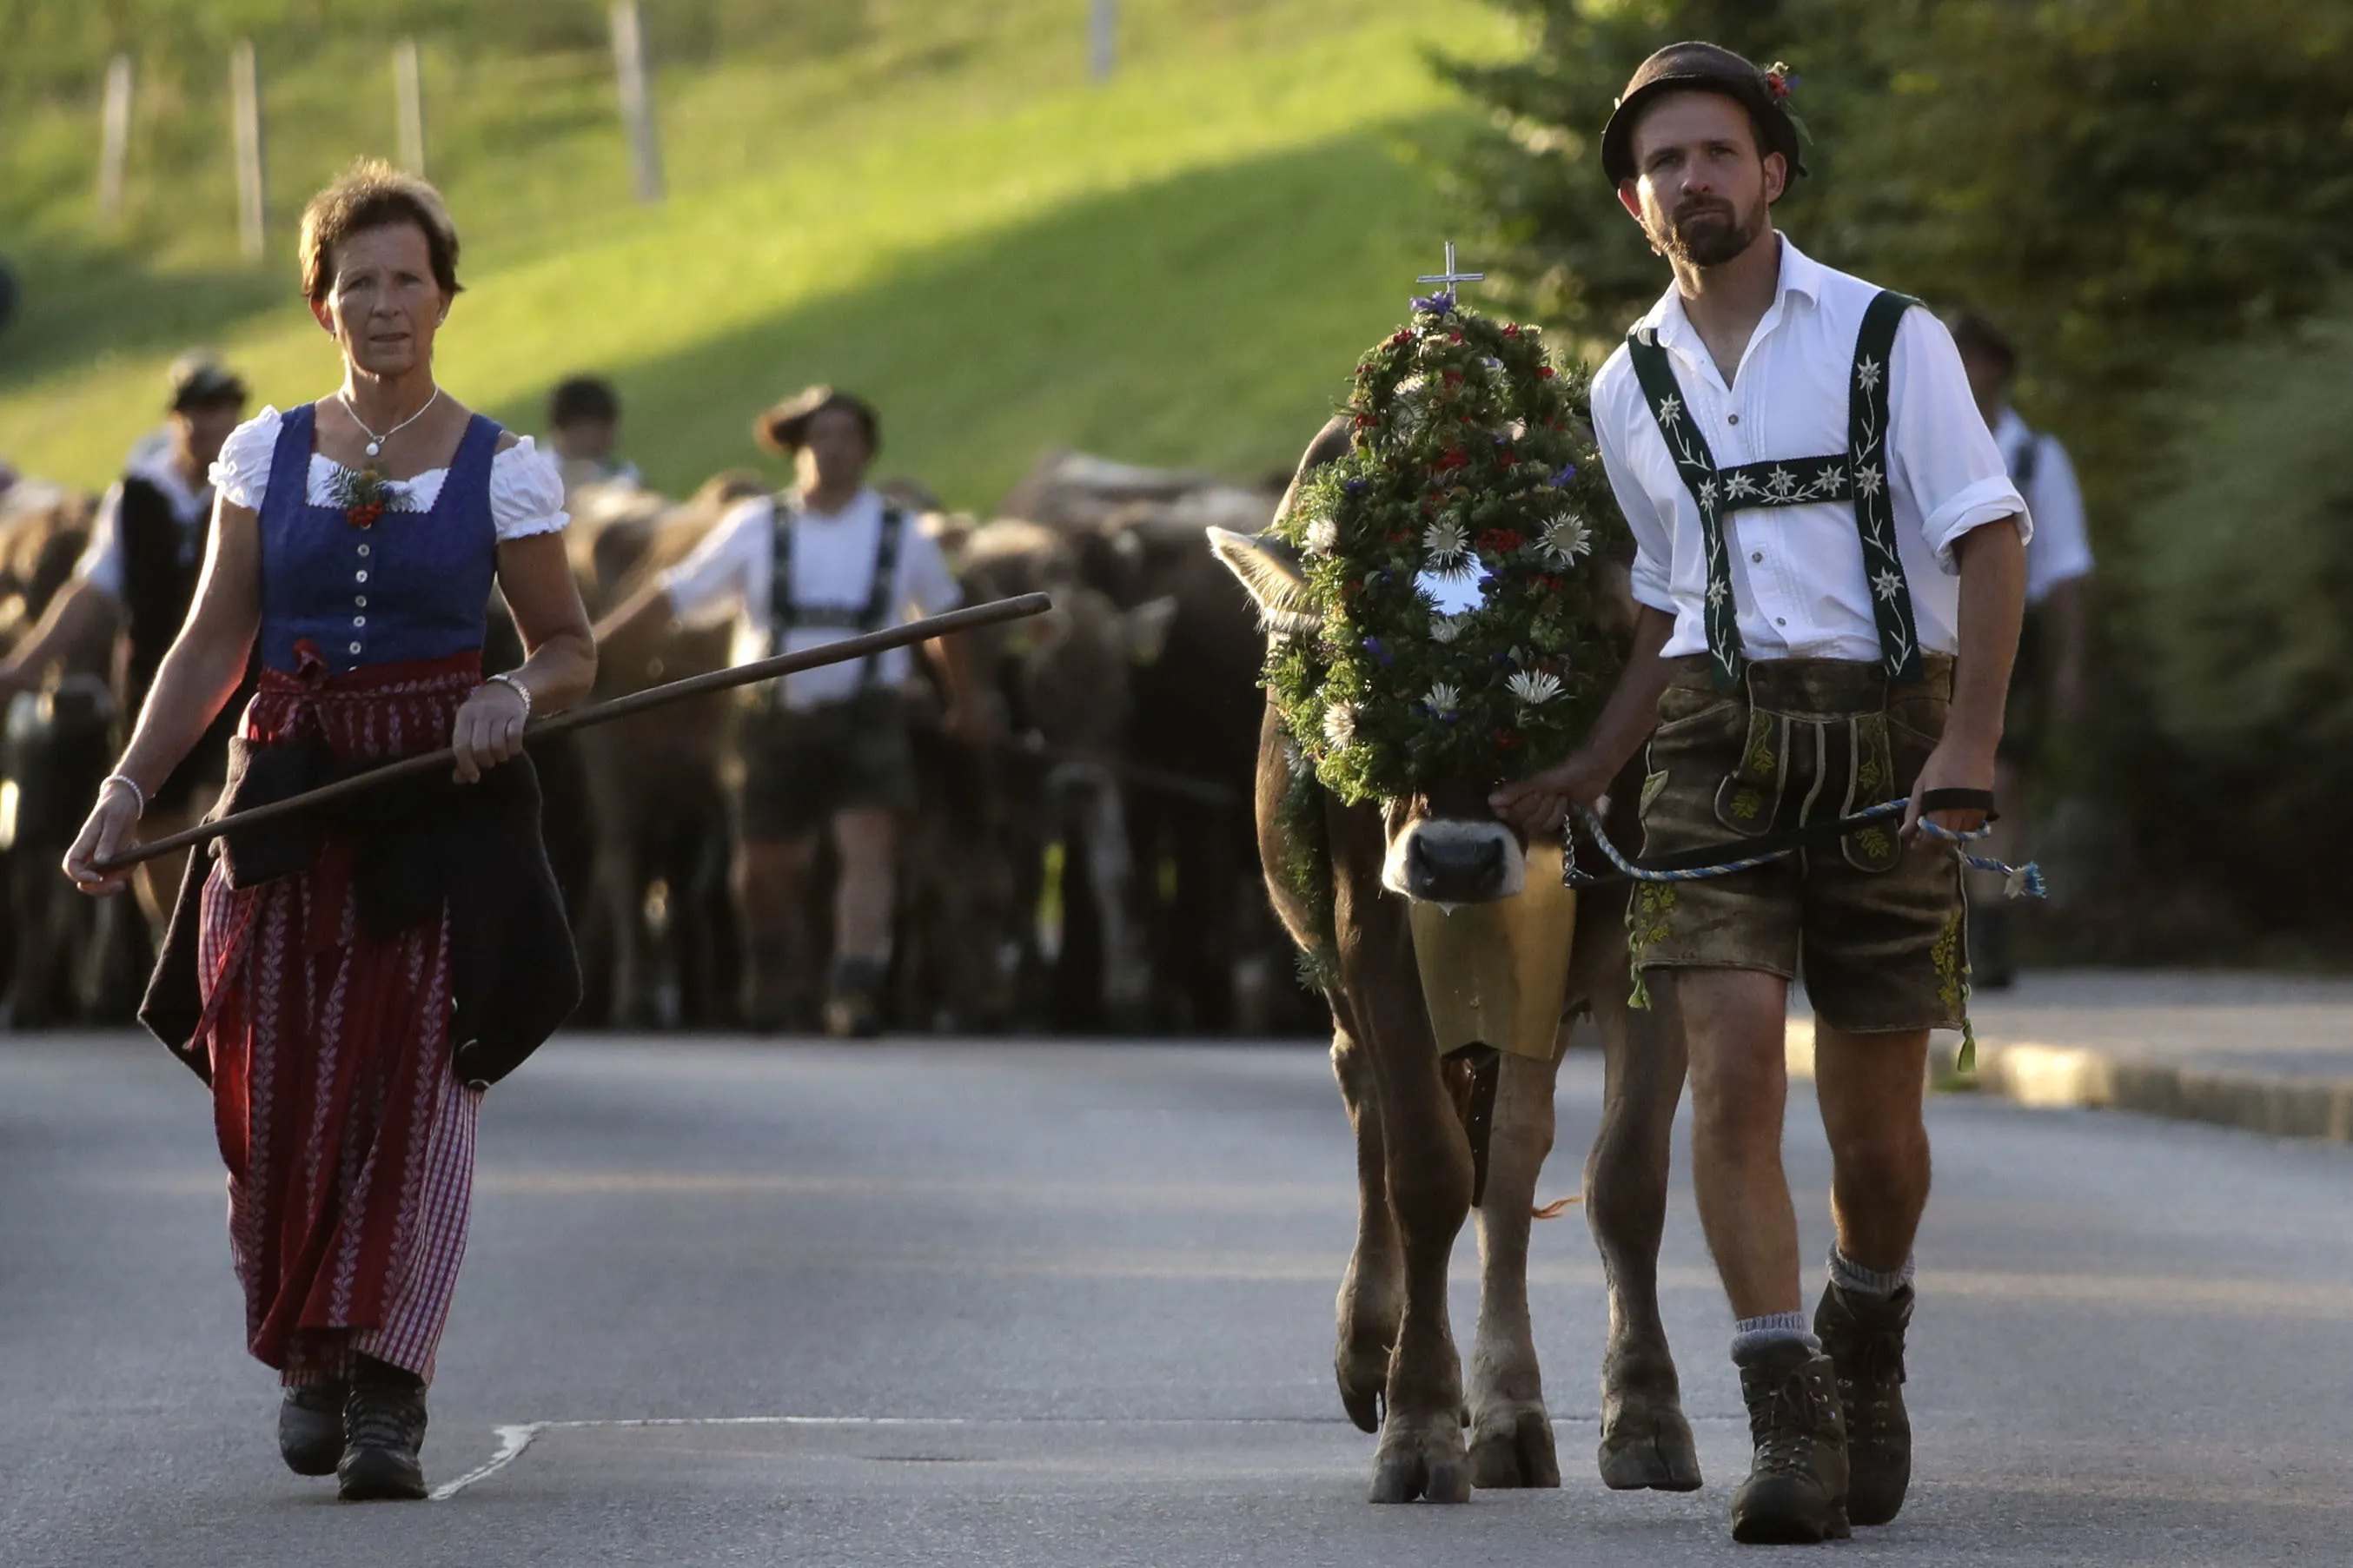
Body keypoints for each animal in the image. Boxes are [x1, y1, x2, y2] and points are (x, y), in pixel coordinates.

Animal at [1214, 288, 1693, 1504]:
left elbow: (1621, 1177)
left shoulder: (1641, 942)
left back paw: (1513, 1411)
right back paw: (1369, 1349)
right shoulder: (1376, 932)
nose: (1458, 860)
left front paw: (1643, 1412)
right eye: (1366, 664)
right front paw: (1421, 1424)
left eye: (1563, 654)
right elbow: (1424, 1173)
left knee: (1513, 1157)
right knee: (1373, 1110)